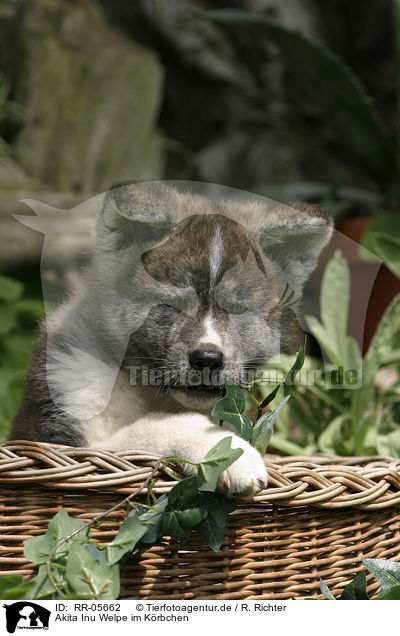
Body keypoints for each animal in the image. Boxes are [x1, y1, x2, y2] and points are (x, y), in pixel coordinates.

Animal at [10, 180, 332, 496]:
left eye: (238, 308)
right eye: (171, 304)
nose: (207, 359)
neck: (148, 390)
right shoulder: (68, 436)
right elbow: (156, 425)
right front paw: (229, 453)